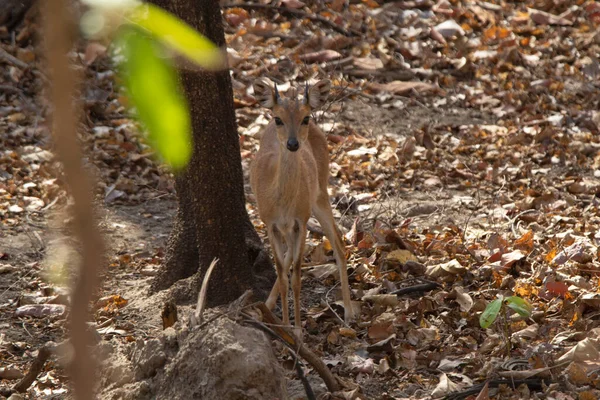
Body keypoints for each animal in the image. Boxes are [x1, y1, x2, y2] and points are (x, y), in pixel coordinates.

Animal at [250, 78, 354, 334]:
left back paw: (348, 313)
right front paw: (286, 325)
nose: (293, 143)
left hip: (320, 194)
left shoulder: (301, 220)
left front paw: (297, 329)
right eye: (278, 119)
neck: (282, 202)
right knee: (289, 255)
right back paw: (266, 306)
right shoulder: (270, 222)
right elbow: (281, 272)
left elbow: (296, 277)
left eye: (305, 118)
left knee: (338, 243)